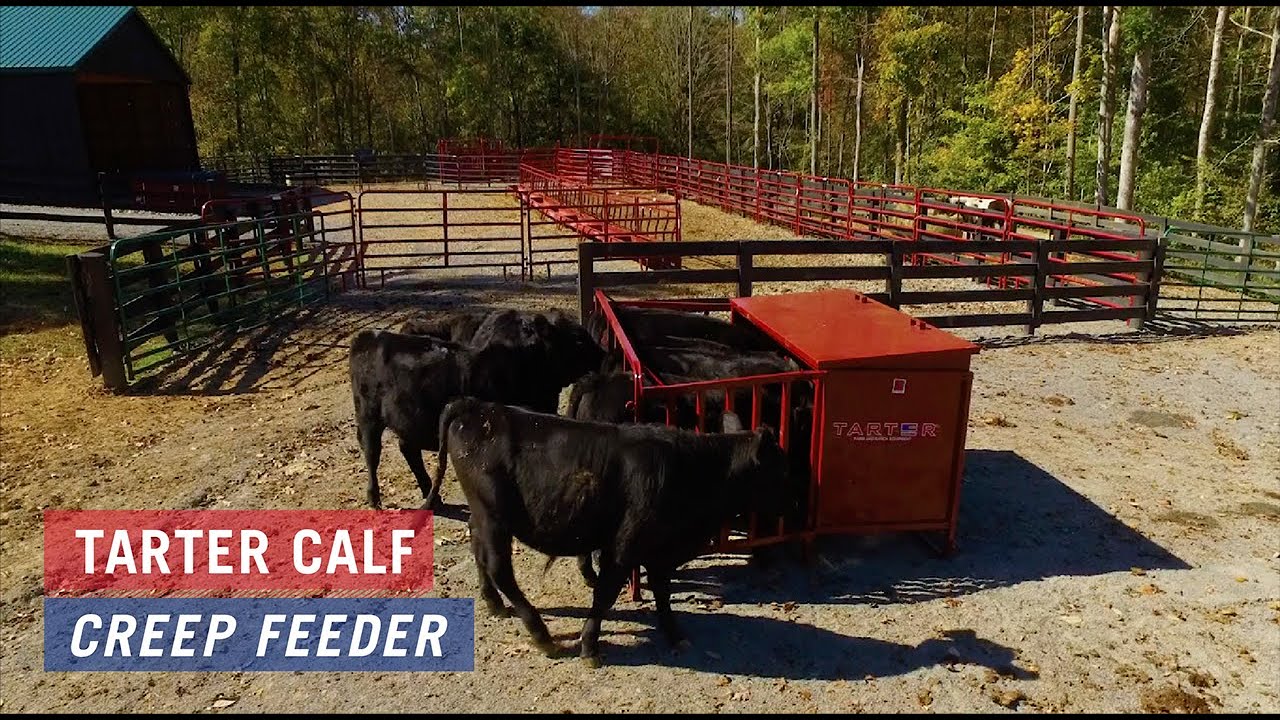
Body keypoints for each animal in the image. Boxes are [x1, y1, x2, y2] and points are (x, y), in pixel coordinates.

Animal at [430, 397, 792, 665]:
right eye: (781, 469)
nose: (797, 501)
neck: (689, 469)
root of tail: (479, 407)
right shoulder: (623, 547)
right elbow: (605, 595)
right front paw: (590, 646)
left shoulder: (658, 549)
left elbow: (662, 592)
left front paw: (674, 634)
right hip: (495, 517)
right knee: (499, 568)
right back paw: (541, 635)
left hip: (483, 515)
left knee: (478, 549)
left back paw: (493, 603)